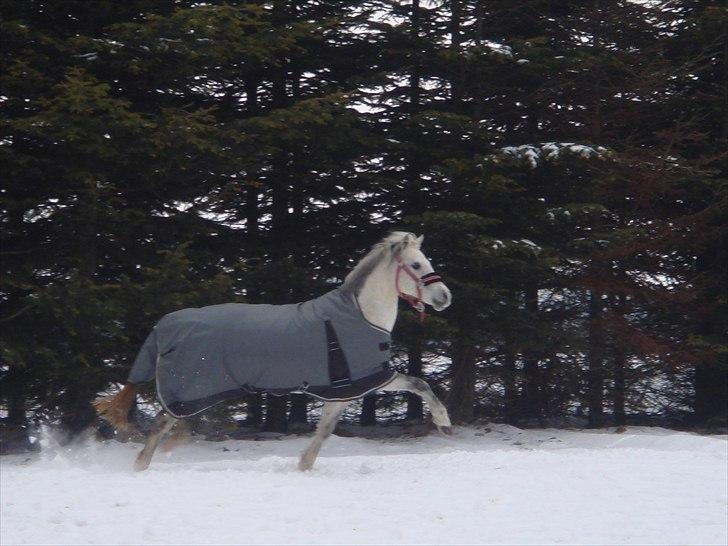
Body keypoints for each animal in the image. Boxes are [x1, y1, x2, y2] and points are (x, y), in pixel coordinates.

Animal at [94, 230, 452, 468]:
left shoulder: (343, 392)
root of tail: (165, 325)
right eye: (417, 265)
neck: (360, 316)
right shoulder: (373, 377)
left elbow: (324, 432)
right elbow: (421, 383)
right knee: (157, 427)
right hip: (187, 391)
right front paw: (444, 422)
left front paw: (304, 467)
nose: (444, 297)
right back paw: (140, 468)